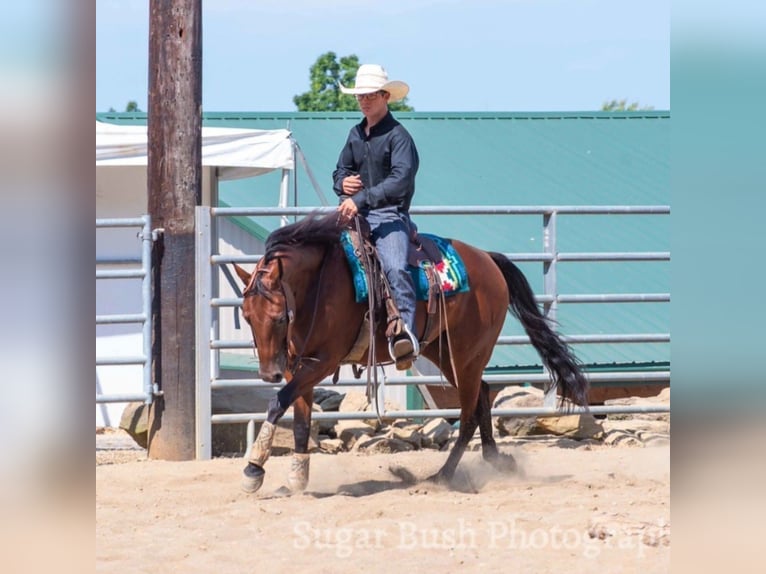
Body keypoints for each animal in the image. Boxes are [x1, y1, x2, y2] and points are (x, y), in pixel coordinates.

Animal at [233, 212, 589, 494]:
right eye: (247, 316)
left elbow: (278, 402)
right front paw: (296, 478)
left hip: (466, 354)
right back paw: (496, 461)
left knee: (469, 412)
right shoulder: (298, 366)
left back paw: (442, 476)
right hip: (447, 354)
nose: (268, 373)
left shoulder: (322, 362)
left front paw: (253, 470)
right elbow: (300, 420)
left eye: (279, 317)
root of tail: (488, 260)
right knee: (483, 395)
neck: (320, 284)